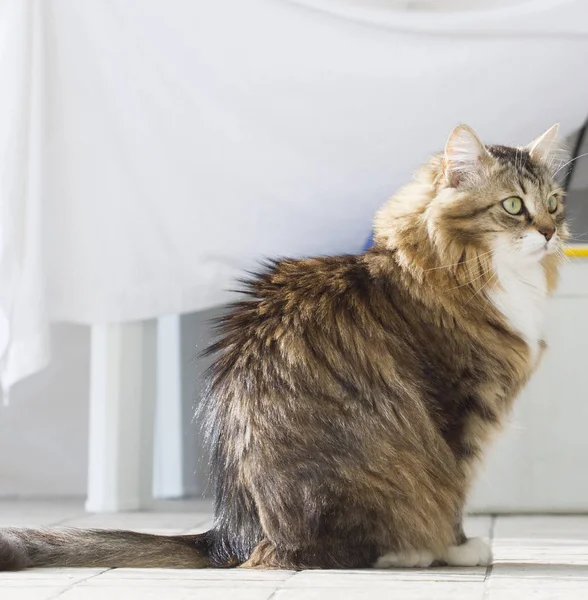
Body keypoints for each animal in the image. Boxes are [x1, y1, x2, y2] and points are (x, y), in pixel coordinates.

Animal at [1, 123, 568, 572]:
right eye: (513, 206)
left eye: (554, 204)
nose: (549, 231)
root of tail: (231, 533)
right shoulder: (456, 413)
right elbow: (454, 496)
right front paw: (460, 548)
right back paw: (410, 552)